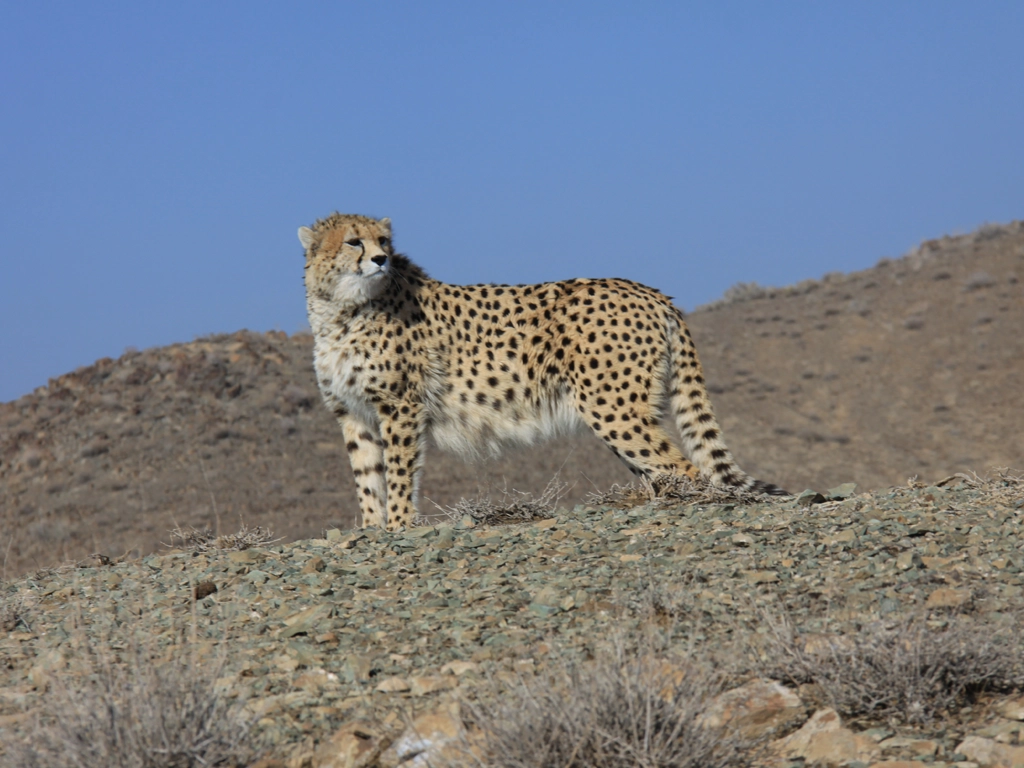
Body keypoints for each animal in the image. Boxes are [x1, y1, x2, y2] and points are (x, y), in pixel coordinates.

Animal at [299, 214, 786, 532]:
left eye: (383, 239)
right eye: (354, 242)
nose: (381, 259)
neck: (340, 308)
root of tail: (651, 292)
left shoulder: (400, 406)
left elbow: (399, 472)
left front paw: (399, 525)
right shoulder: (353, 413)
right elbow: (367, 475)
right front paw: (371, 528)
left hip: (612, 407)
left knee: (685, 467)